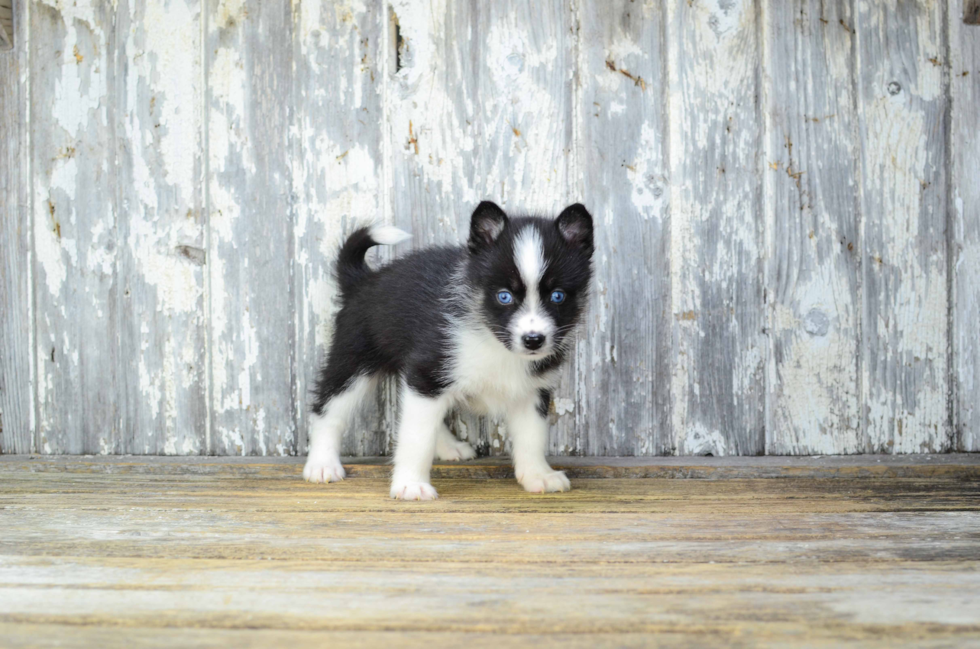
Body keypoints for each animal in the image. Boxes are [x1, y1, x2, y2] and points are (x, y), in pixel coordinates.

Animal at [304, 200, 596, 498]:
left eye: (558, 296)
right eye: (504, 296)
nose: (533, 340)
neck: (494, 343)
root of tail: (364, 280)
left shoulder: (532, 389)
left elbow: (532, 435)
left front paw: (539, 475)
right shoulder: (428, 372)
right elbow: (417, 435)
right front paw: (411, 485)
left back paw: (449, 446)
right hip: (354, 358)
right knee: (328, 409)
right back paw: (322, 464)